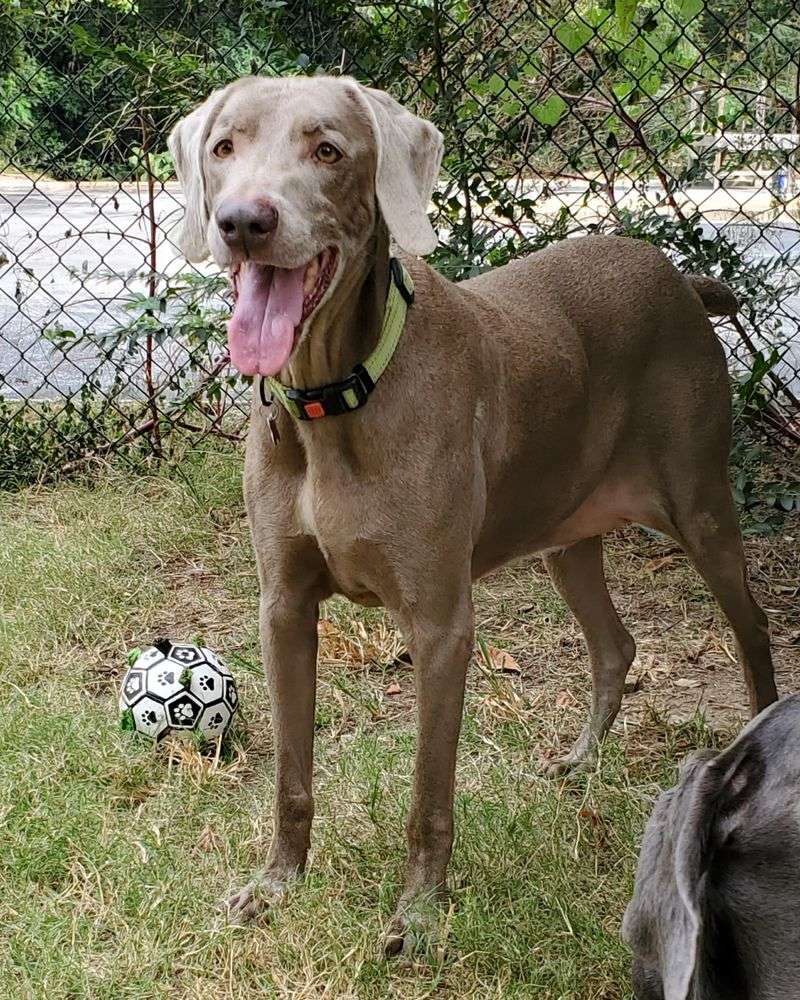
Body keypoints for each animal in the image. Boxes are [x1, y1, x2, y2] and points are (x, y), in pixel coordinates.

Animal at [169, 72, 776, 952]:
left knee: (752, 627)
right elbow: (291, 775)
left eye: (329, 151)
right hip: (567, 532)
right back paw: (581, 761)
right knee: (616, 646)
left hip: (700, 504)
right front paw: (276, 885)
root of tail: (678, 279)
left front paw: (418, 917)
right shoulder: (281, 606)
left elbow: (429, 796)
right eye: (223, 147)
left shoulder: (439, 621)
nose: (245, 222)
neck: (335, 398)